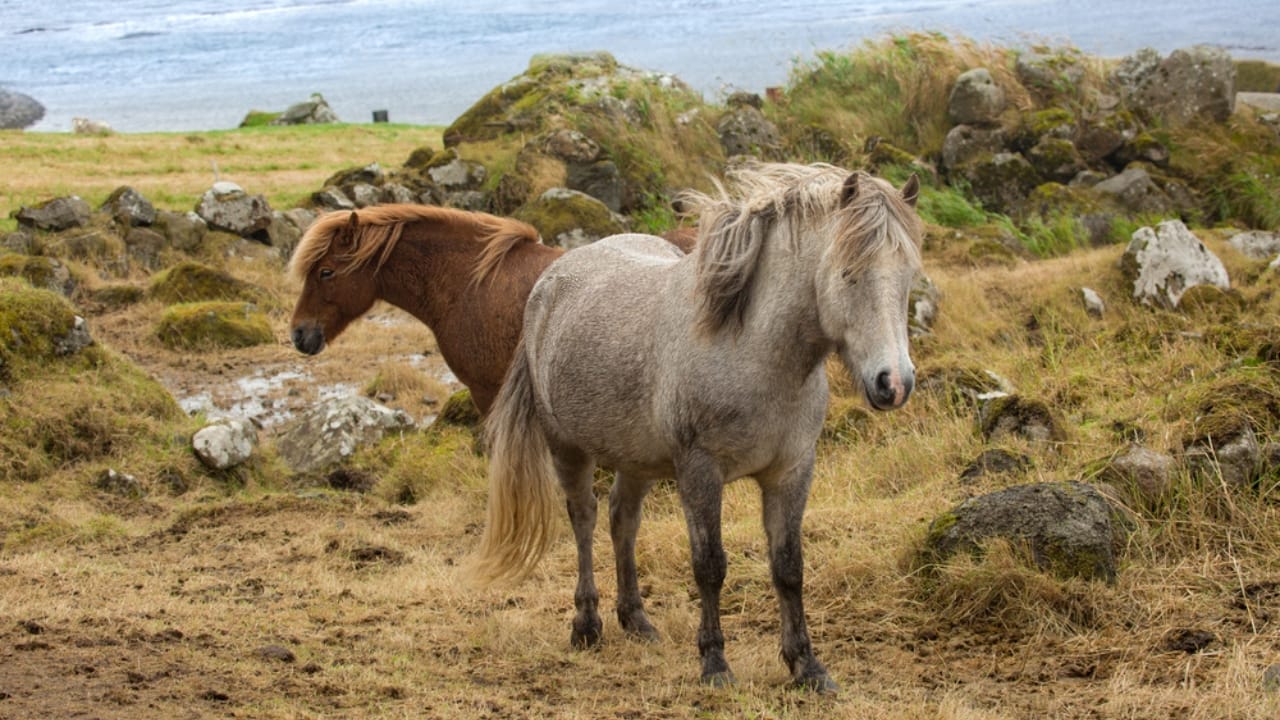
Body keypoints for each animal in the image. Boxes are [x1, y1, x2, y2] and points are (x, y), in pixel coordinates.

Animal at [469, 163, 923, 692]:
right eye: (849, 274)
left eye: (909, 277)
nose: (894, 384)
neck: (751, 352)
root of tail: (548, 282)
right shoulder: (700, 472)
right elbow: (710, 566)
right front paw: (715, 663)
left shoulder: (792, 472)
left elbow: (788, 567)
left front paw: (807, 666)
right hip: (567, 448)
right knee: (583, 519)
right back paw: (587, 625)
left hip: (636, 460)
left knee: (622, 520)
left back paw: (636, 620)